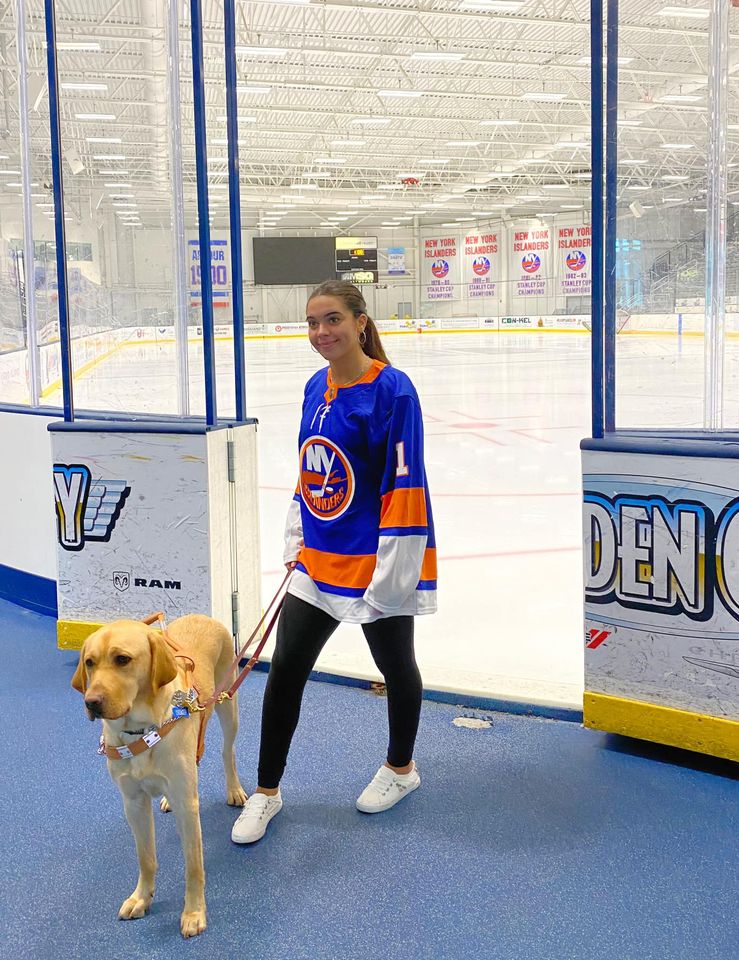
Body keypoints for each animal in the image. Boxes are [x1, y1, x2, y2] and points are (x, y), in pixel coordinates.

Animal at [71, 614, 247, 938]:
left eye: (122, 659)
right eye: (89, 662)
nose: (91, 702)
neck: (141, 731)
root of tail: (204, 616)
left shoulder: (188, 808)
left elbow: (193, 867)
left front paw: (193, 913)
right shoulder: (133, 803)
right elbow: (146, 859)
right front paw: (142, 898)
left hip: (228, 703)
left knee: (227, 751)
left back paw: (234, 789)